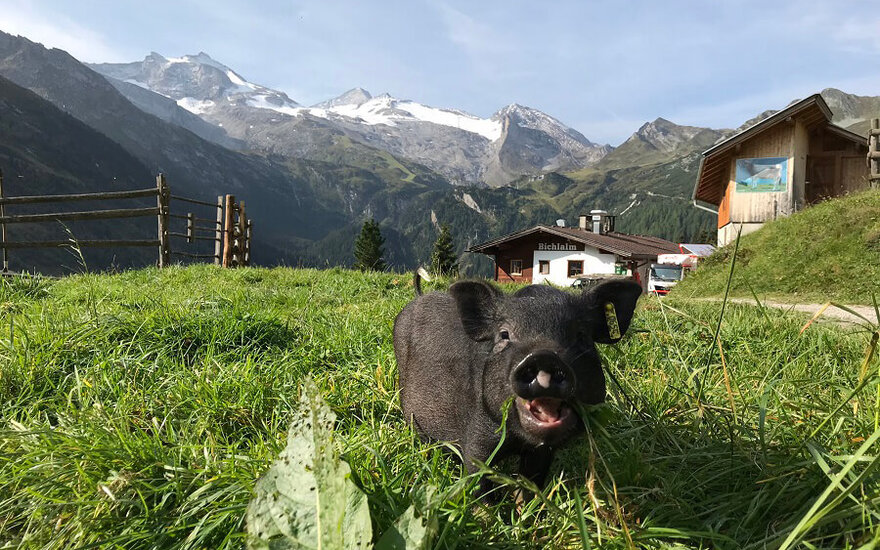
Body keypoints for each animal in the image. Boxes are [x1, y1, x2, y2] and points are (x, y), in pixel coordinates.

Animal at [393, 276, 641, 492]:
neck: (519, 441)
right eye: (504, 334)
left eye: (581, 335)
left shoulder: (541, 453)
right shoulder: (477, 440)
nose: (544, 356)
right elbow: (480, 482)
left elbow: (532, 484)